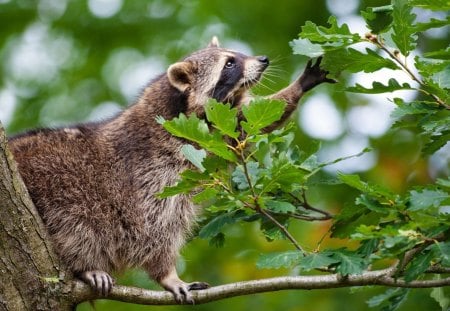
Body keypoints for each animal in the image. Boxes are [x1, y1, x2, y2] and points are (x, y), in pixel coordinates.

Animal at [7, 36, 334, 304]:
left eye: (237, 54)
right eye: (229, 63)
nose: (263, 60)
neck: (179, 106)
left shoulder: (221, 129)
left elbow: (256, 118)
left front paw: (298, 85)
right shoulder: (153, 169)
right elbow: (154, 227)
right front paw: (168, 275)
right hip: (58, 182)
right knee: (78, 223)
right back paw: (86, 266)